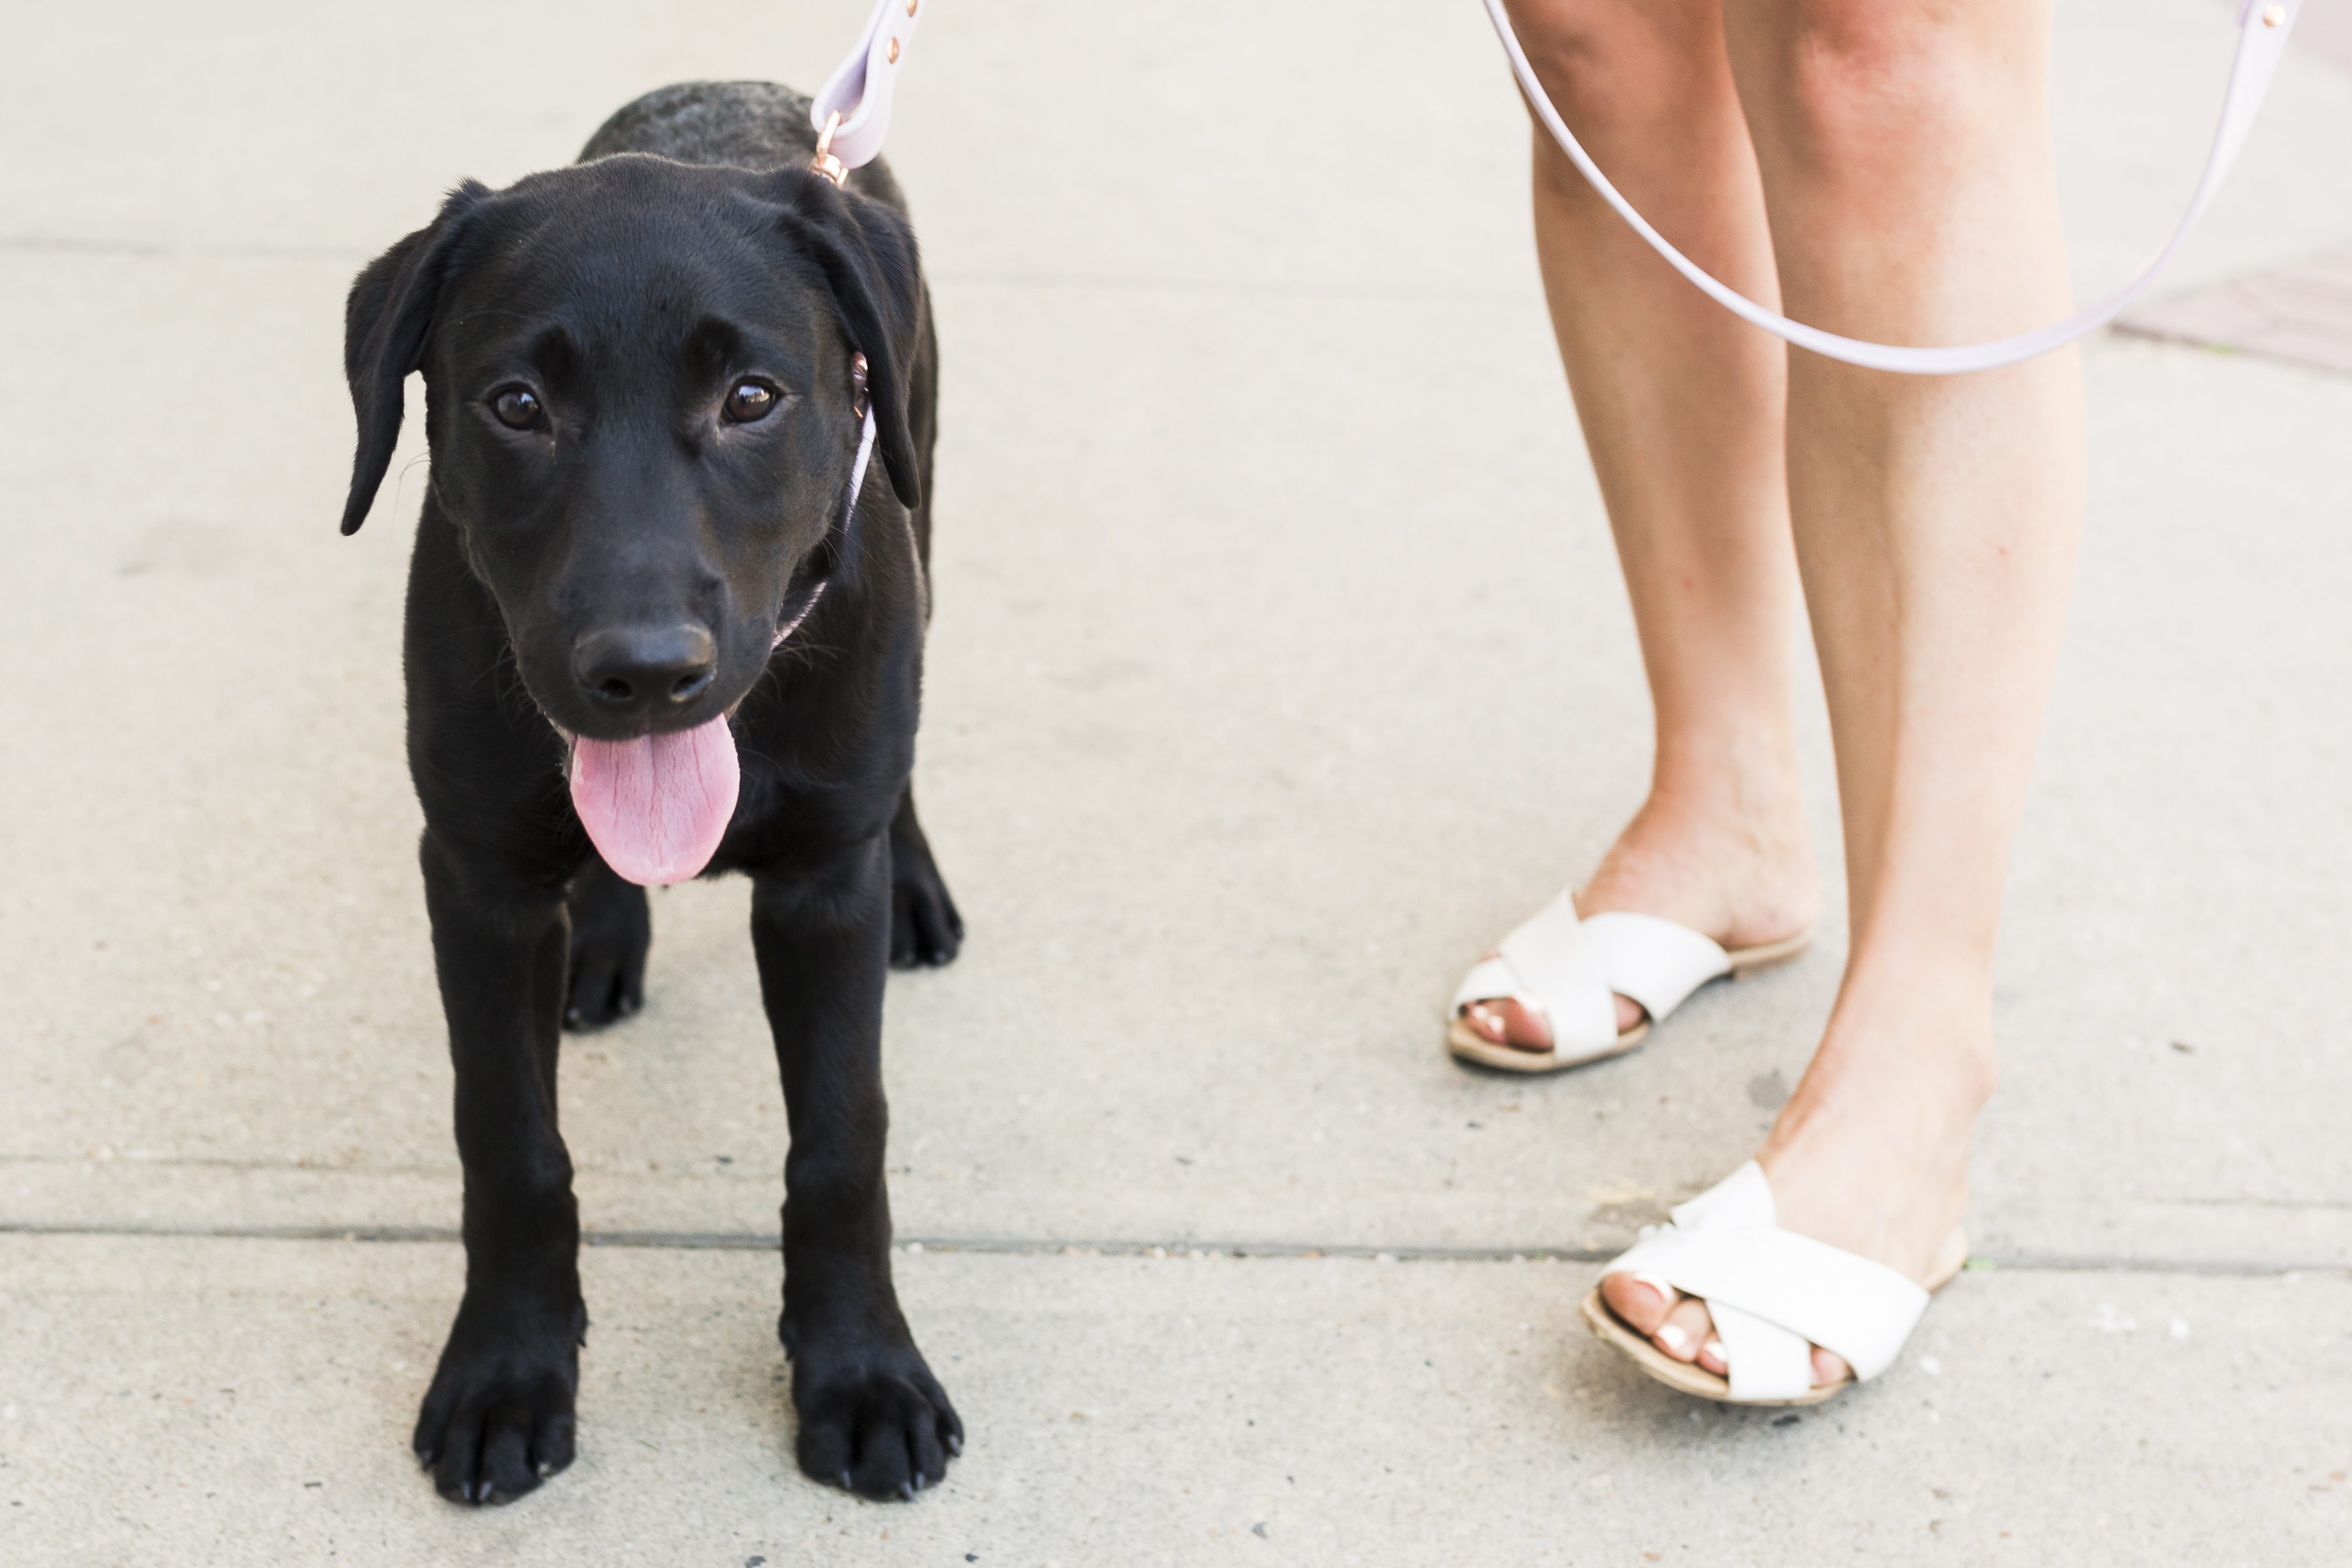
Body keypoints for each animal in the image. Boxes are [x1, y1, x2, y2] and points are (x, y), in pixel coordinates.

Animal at [336, 86, 959, 1504]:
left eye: (751, 398)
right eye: (515, 405)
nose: (643, 671)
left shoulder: (819, 887)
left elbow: (841, 1141)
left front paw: (865, 1373)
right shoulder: (476, 879)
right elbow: (510, 1142)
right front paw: (506, 1373)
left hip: (923, 480)